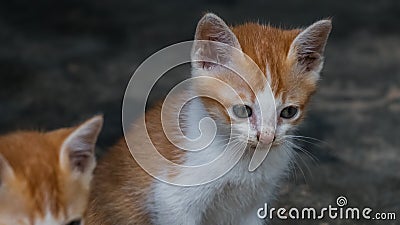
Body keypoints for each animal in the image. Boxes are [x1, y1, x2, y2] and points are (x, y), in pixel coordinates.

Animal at [86, 13, 330, 224]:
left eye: (288, 112)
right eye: (243, 111)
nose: (267, 137)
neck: (244, 159)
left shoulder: (254, 206)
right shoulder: (172, 199)